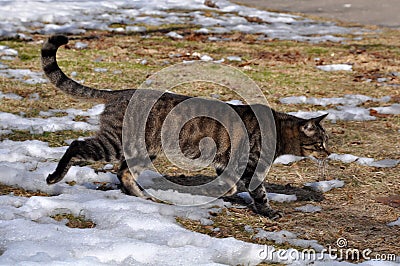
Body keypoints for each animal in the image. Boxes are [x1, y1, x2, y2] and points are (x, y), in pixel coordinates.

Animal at [40, 34, 330, 218]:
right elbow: (258, 192)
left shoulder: (227, 161)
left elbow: (230, 184)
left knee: (123, 171)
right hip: (114, 143)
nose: (330, 153)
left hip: (144, 149)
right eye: (321, 143)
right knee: (78, 146)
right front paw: (269, 211)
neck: (279, 131)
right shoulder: (249, 165)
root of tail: (119, 93)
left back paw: (142, 197)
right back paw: (55, 176)